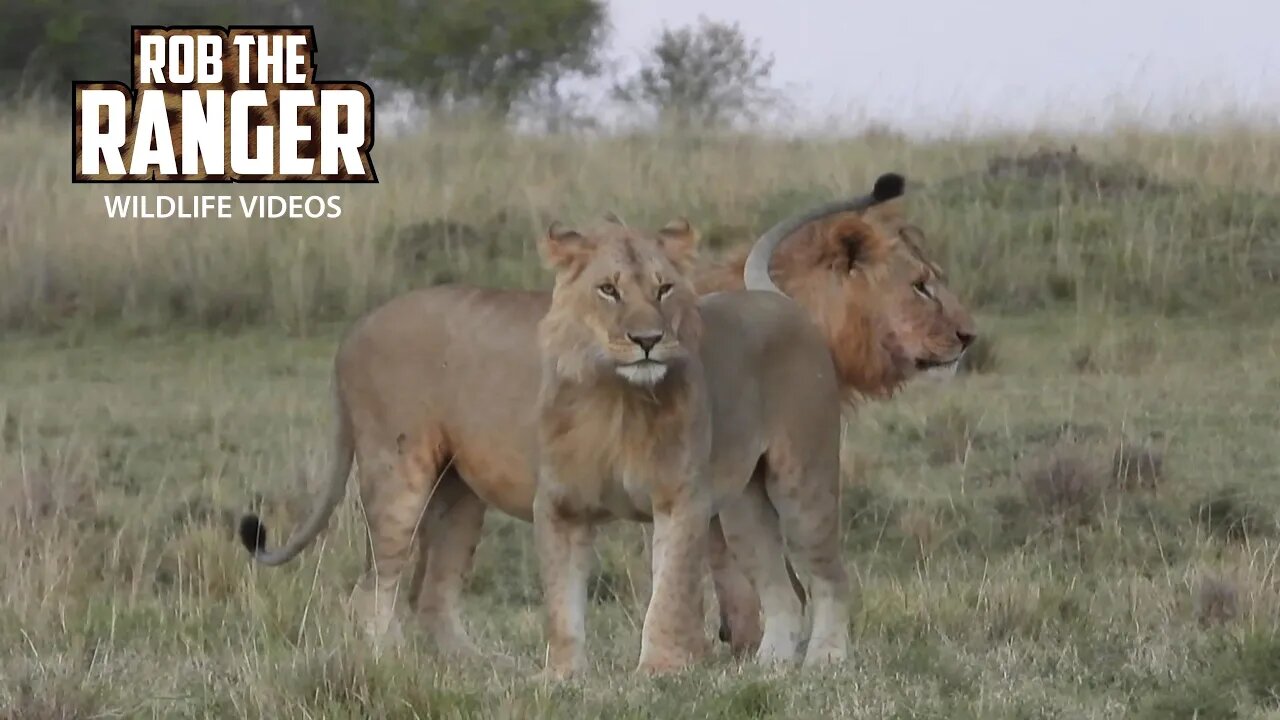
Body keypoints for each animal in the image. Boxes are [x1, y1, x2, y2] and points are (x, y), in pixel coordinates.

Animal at [240, 170, 972, 661]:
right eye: (921, 286)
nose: (968, 337)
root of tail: (352, 331)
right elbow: (712, 591)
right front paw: (711, 657)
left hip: (465, 494)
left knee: (433, 594)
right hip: (400, 471)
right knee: (375, 590)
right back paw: (395, 669)